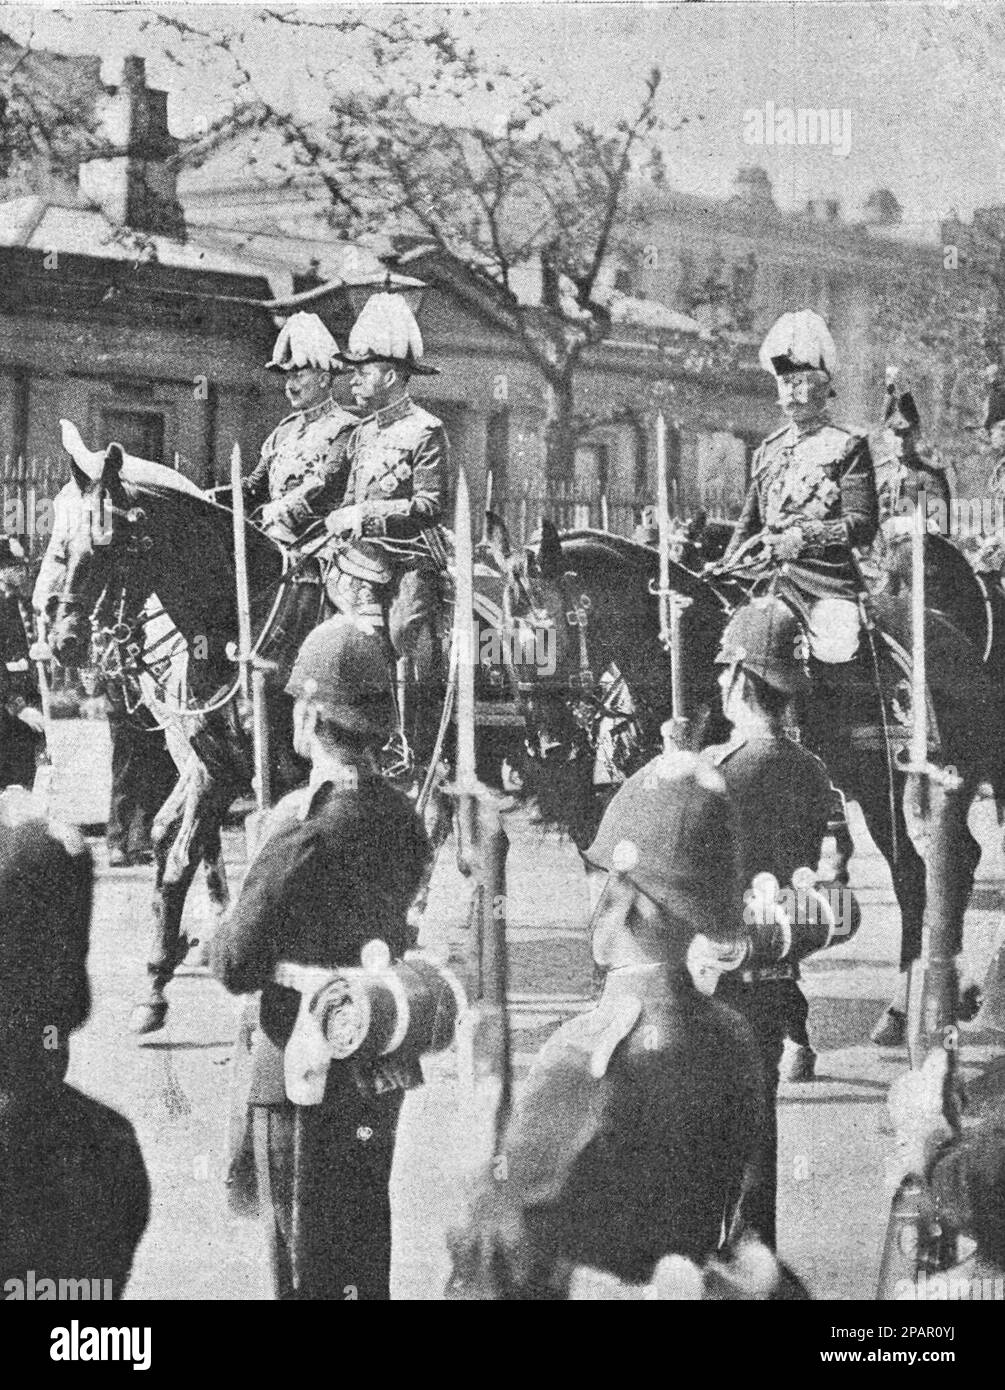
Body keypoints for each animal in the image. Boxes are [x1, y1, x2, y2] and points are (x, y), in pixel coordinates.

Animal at [486, 511, 1005, 1034]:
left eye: (544, 629)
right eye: (499, 637)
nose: (548, 744)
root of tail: (952, 637)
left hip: (893, 788)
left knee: (916, 876)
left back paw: (906, 1007)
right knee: (957, 859)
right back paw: (953, 993)